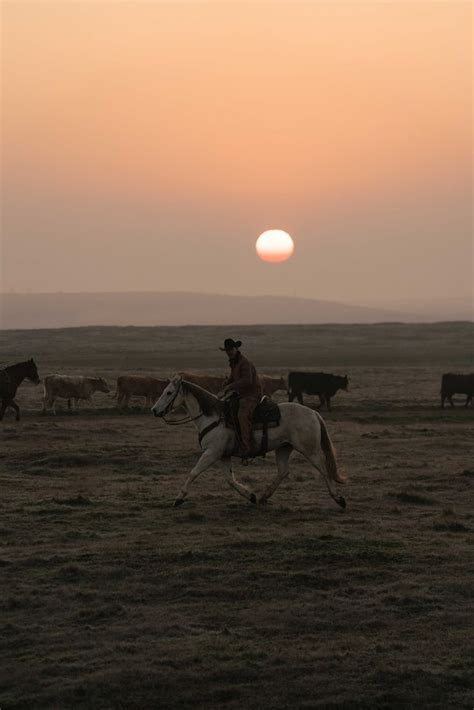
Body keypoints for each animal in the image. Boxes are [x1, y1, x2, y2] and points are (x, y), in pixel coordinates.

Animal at [153, 376, 348, 508]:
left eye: (169, 392)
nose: (154, 410)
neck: (213, 417)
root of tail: (313, 413)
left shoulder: (211, 453)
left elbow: (193, 473)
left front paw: (178, 498)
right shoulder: (223, 455)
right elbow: (230, 479)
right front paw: (250, 496)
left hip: (310, 450)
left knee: (324, 469)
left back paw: (339, 499)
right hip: (284, 448)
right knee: (283, 471)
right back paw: (263, 497)